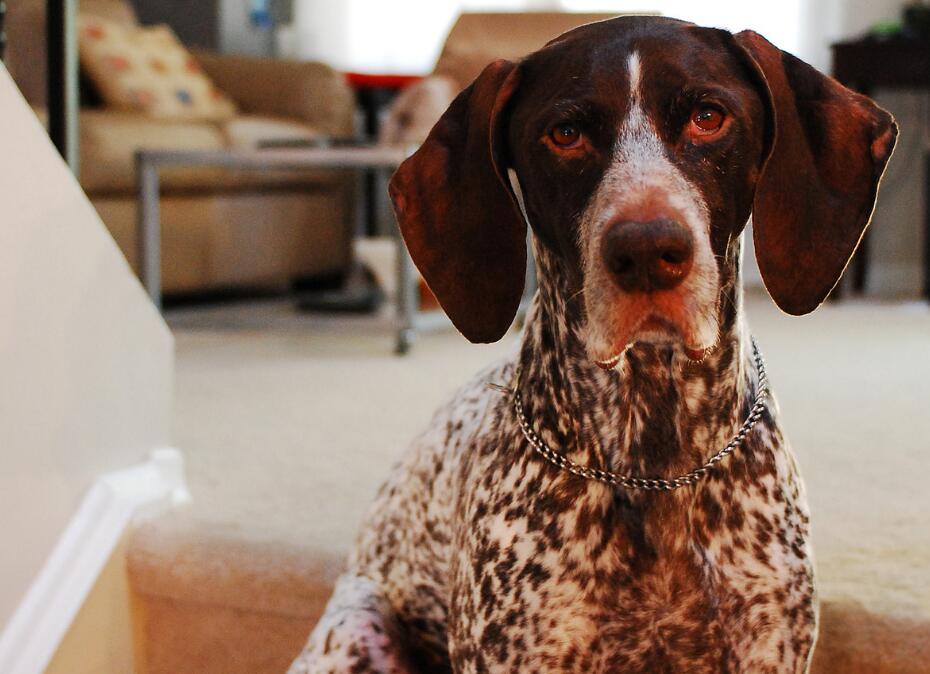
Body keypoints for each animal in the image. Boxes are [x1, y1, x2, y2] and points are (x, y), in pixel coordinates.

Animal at [289, 16, 896, 674]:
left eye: (708, 117)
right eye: (566, 134)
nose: (649, 250)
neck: (654, 458)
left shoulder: (768, 647)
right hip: (358, 632)